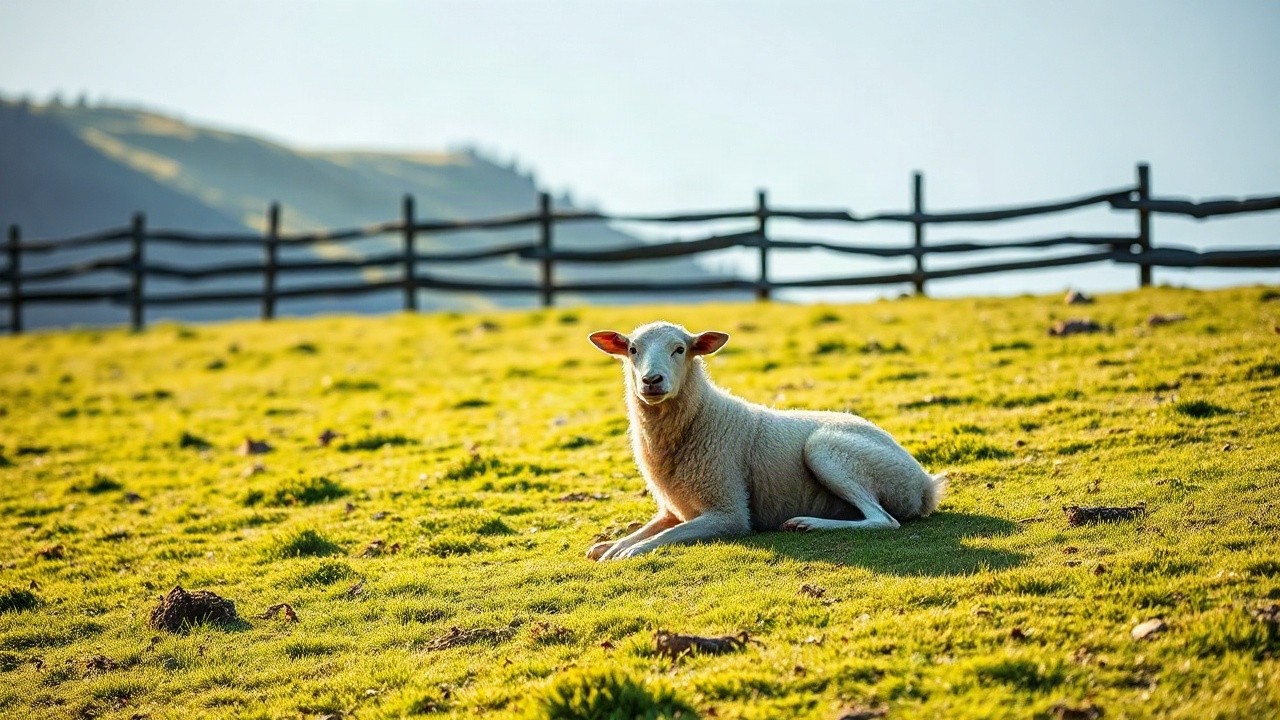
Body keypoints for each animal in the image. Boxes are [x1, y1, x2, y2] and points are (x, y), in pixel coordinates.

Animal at [585, 321, 946, 561]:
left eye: (680, 349)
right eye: (632, 350)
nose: (651, 381)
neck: (703, 416)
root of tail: (926, 485)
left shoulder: (729, 512)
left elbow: (666, 536)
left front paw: (628, 552)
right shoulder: (673, 509)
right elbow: (649, 529)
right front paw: (609, 546)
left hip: (829, 450)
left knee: (884, 520)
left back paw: (807, 524)